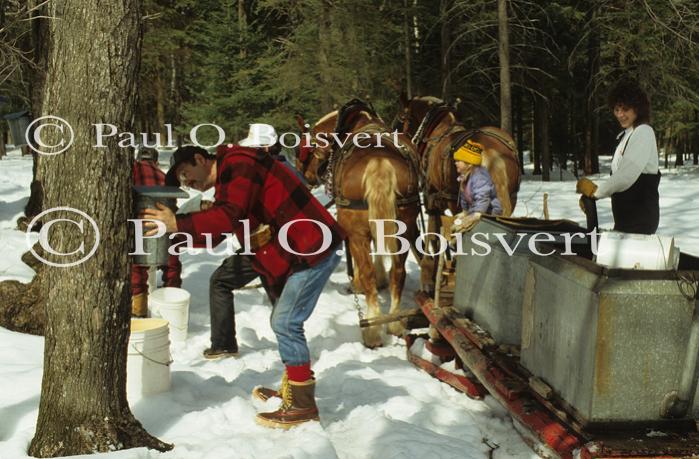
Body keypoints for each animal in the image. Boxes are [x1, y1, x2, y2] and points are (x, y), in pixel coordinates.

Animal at [296, 99, 418, 348]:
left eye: (304, 150)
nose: (306, 177)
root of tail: (379, 160)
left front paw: (358, 283)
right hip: (405, 228)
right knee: (398, 273)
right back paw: (394, 322)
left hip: (356, 231)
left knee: (368, 272)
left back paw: (371, 329)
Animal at [394, 95, 520, 292]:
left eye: (402, 117)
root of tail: (490, 151)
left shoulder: (432, 197)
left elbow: (433, 234)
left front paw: (428, 278)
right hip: (509, 199)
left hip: (457, 203)